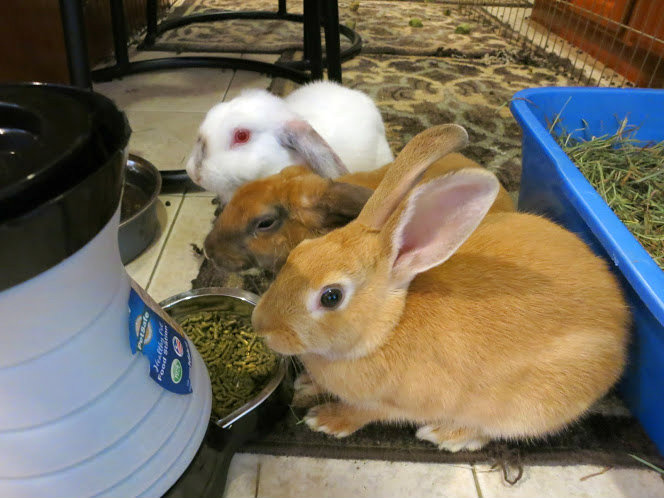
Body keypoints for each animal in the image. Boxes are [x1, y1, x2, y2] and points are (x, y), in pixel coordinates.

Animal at [250, 124, 629, 452]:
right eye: (299, 253)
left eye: (331, 297)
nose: (261, 326)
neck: (386, 329)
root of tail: (622, 334)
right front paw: (307, 384)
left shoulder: (396, 403)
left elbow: (365, 413)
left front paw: (325, 420)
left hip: (523, 409)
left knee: (492, 431)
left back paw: (445, 435)